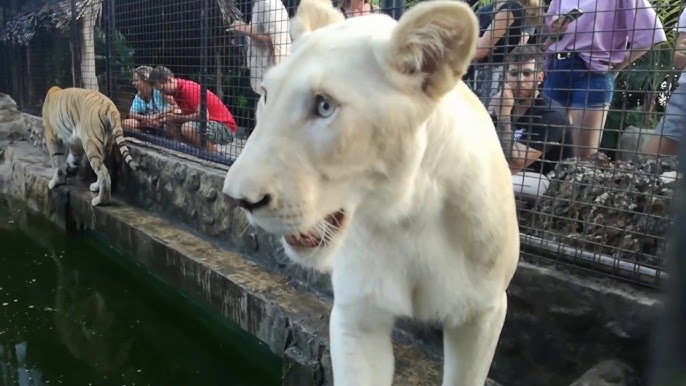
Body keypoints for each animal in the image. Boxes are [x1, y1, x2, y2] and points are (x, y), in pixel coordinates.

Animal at [223, 0, 520, 386]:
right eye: (266, 96)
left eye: (324, 106)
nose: (235, 199)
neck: (408, 218)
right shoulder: (357, 314)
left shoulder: (482, 313)